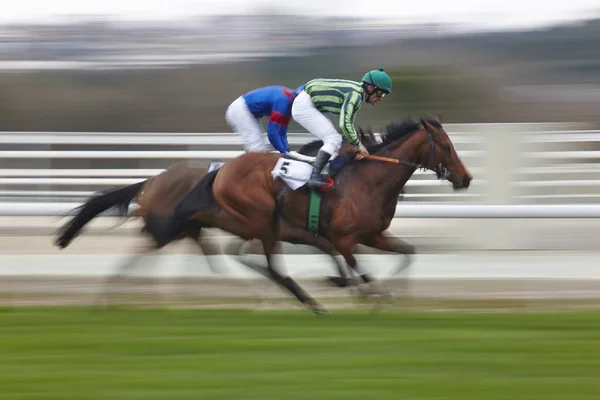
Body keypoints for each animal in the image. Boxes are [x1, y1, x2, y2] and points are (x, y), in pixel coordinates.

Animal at [145, 115, 474, 312]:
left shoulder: (372, 235)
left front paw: (393, 294)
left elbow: (408, 253)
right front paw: (370, 296)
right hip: (263, 222)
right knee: (269, 265)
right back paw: (311, 302)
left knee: (248, 257)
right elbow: (360, 269)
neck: (369, 180)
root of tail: (222, 170)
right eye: (446, 146)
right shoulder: (343, 238)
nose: (466, 178)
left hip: (265, 227)